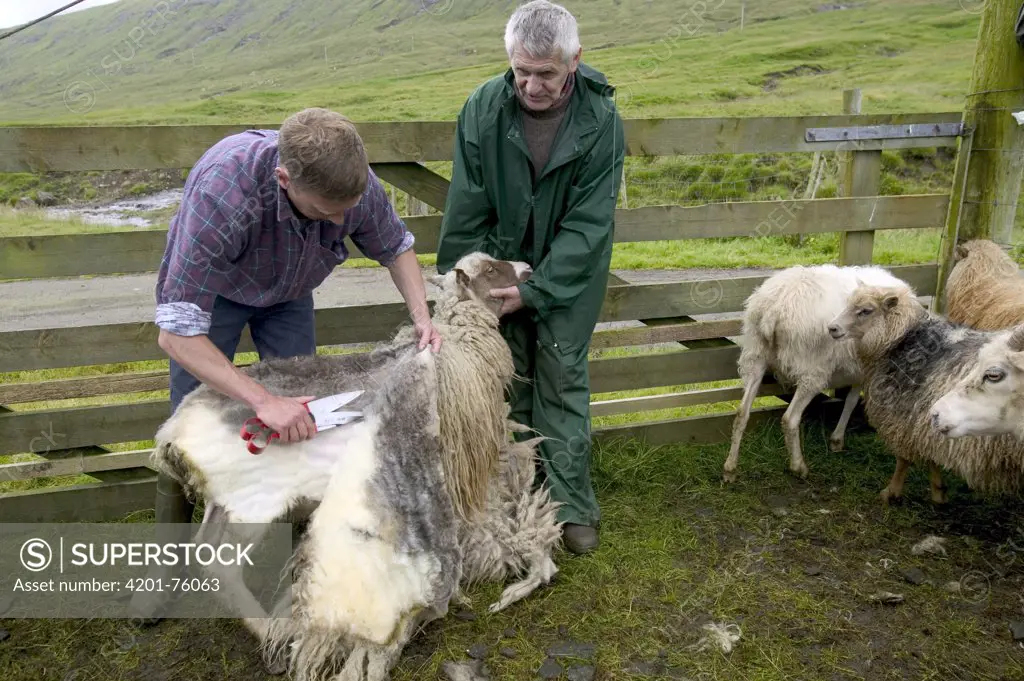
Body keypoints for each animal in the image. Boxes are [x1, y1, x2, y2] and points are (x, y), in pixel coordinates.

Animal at [724, 262, 917, 481]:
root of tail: (776, 306)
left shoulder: (861, 370)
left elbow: (851, 400)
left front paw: (837, 439)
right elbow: (853, 401)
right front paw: (838, 438)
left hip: (755, 355)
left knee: (741, 413)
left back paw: (730, 469)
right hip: (811, 370)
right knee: (790, 418)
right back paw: (799, 467)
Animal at [823, 284, 1024, 501]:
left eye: (866, 310)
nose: (832, 328)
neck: (902, 339)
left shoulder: (904, 419)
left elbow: (903, 459)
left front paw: (892, 492)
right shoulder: (924, 423)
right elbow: (931, 458)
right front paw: (939, 492)